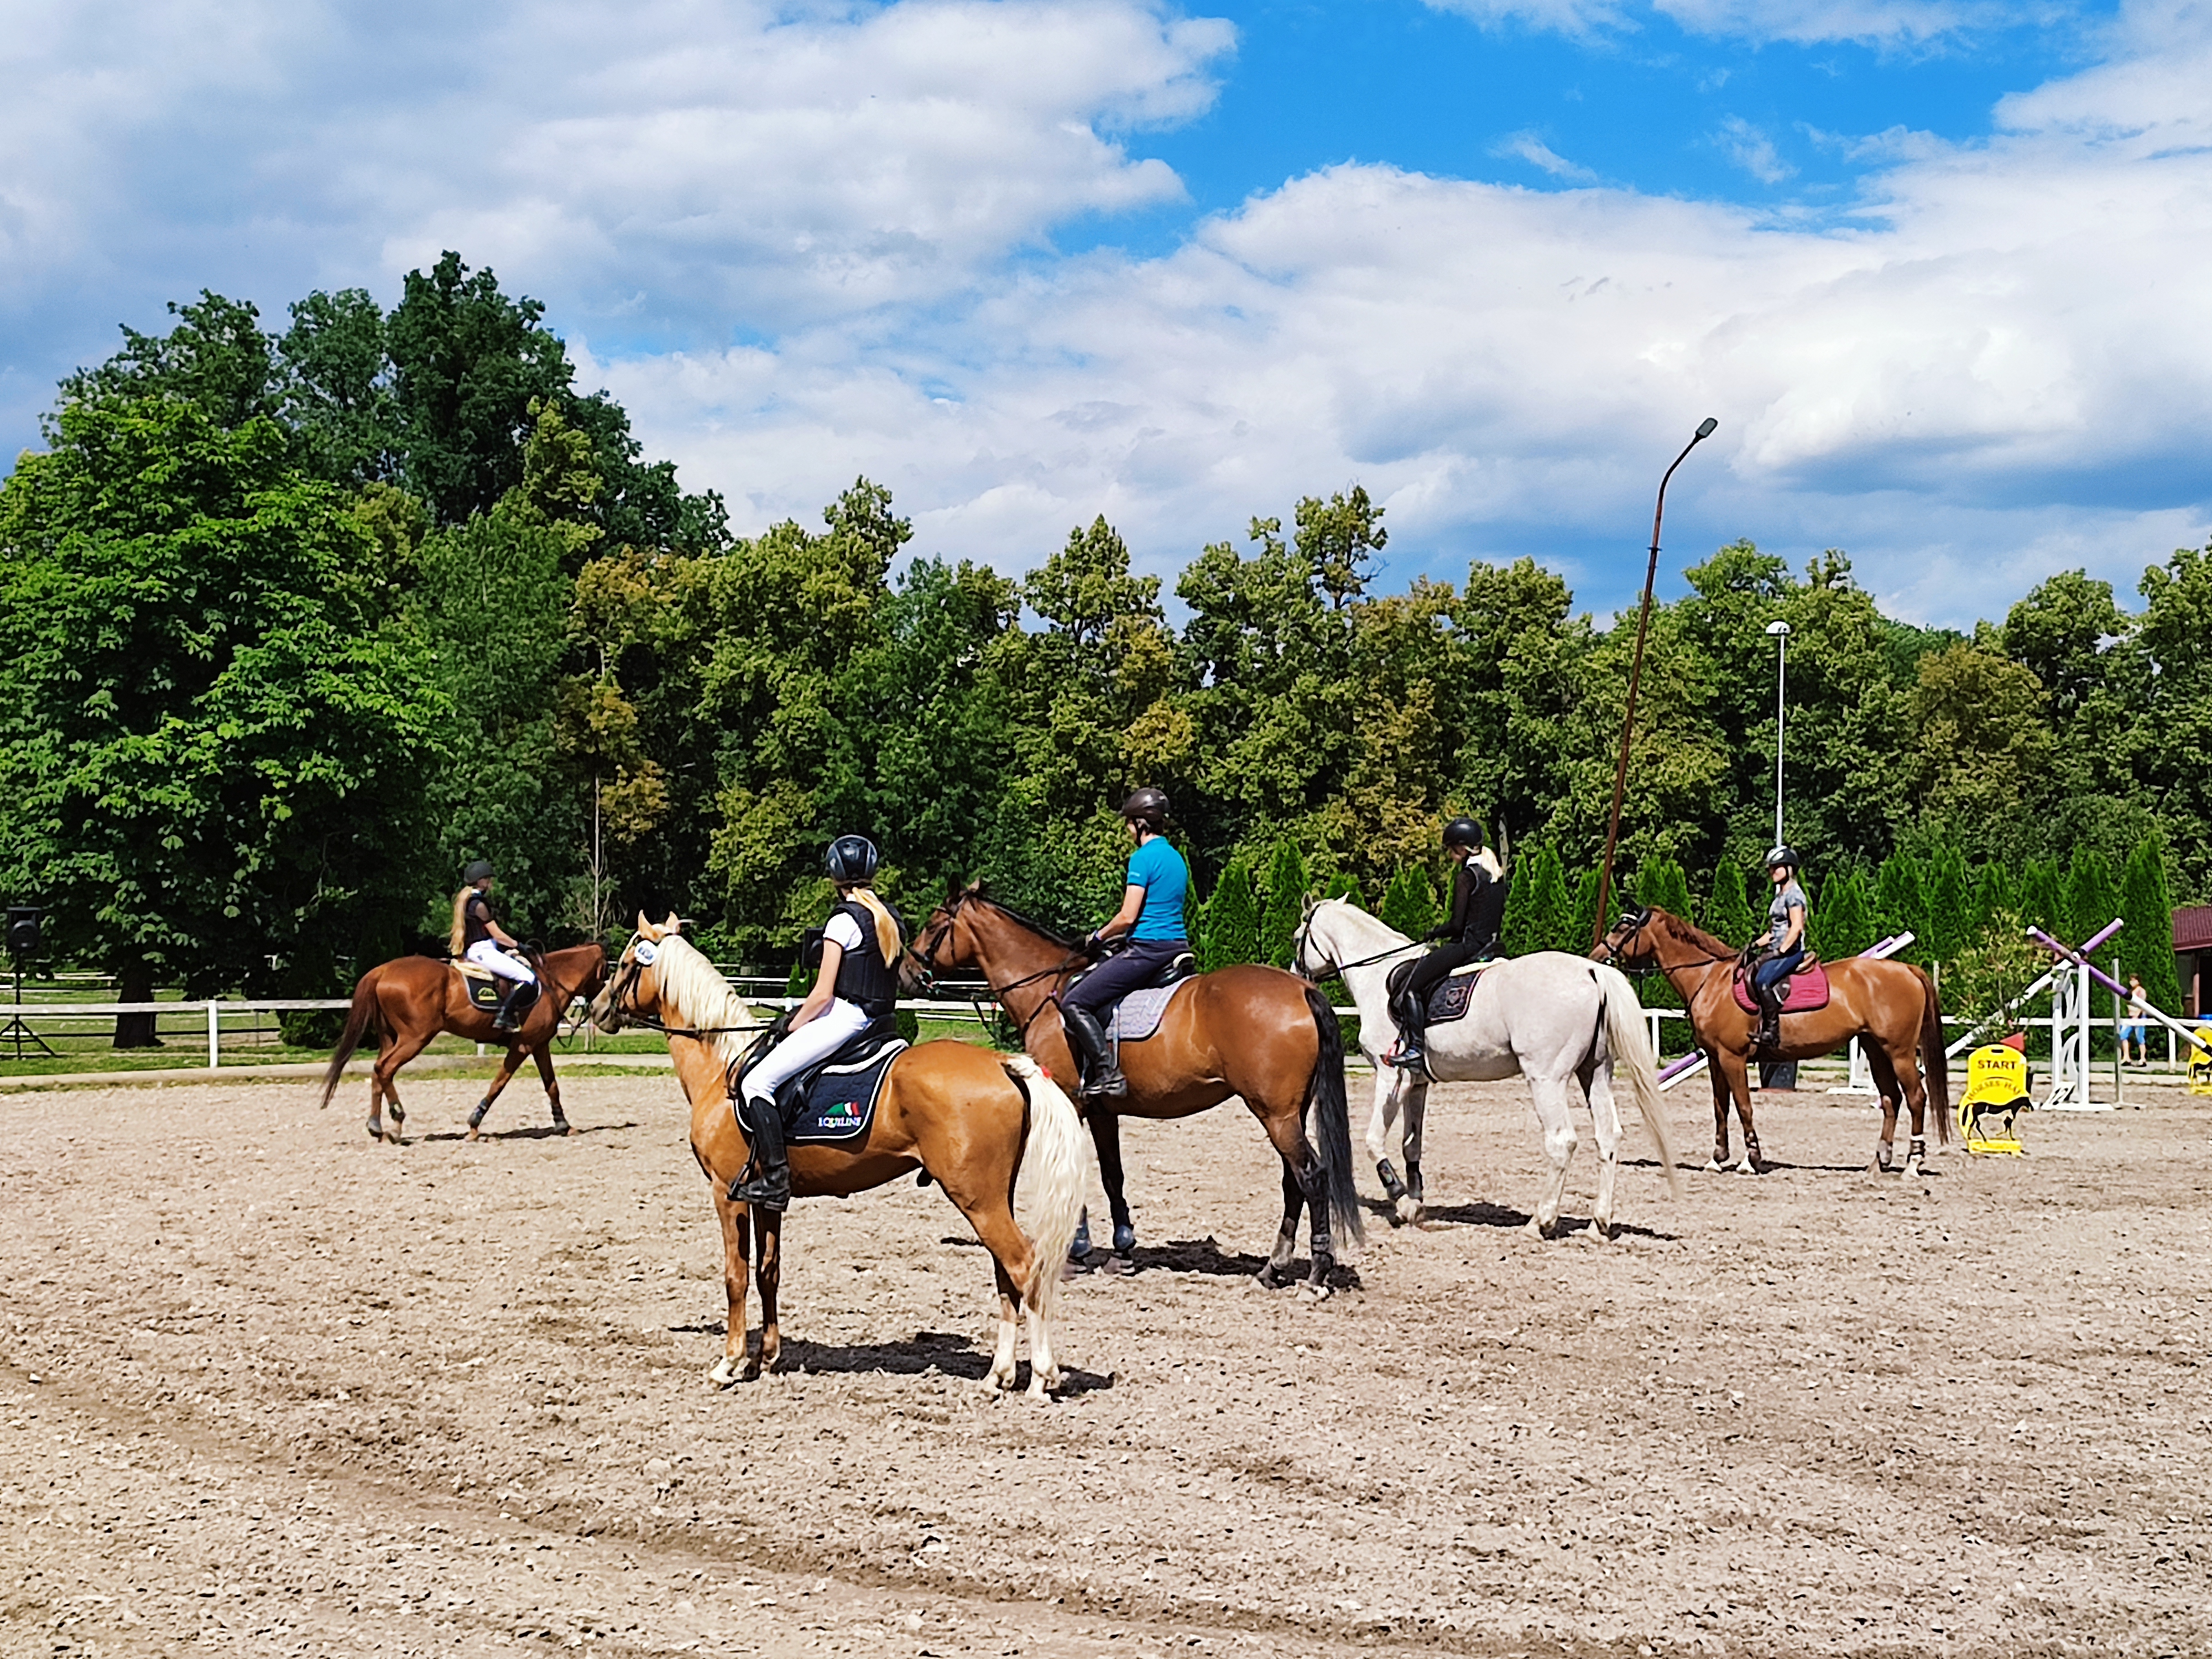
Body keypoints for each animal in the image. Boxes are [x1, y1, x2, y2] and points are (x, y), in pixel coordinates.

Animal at [319, 943, 609, 1142]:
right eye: (606, 969)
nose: (600, 1009)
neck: (549, 983)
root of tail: (383, 970)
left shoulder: (539, 1045)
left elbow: (552, 1086)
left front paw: (564, 1125)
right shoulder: (523, 1046)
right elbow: (499, 1083)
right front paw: (474, 1124)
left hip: (391, 1037)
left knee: (378, 1071)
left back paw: (377, 1127)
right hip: (415, 1038)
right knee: (385, 1069)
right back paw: (397, 1120)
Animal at [590, 915, 1087, 1395]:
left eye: (625, 964)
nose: (597, 1010)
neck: (723, 1068)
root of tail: (1002, 1062)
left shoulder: (726, 1194)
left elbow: (736, 1276)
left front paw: (729, 1364)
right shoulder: (766, 1197)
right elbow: (768, 1272)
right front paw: (766, 1358)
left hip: (977, 1198)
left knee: (1024, 1265)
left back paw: (1041, 1378)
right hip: (991, 1198)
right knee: (1007, 1272)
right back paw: (997, 1376)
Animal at [904, 884, 1363, 1296]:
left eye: (933, 925)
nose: (908, 972)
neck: (1048, 994)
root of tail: (1302, 988)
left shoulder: (1071, 1103)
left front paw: (1076, 1255)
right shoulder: (1102, 1109)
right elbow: (1113, 1175)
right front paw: (1122, 1252)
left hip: (1275, 1114)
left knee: (1312, 1176)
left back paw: (1317, 1273)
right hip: (1288, 1113)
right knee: (1293, 1182)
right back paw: (1274, 1269)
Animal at [1293, 899, 1680, 1240]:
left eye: (1298, 938)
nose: (1298, 977)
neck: (1377, 977)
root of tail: (1591, 970)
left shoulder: (1392, 1077)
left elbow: (1374, 1141)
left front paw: (1401, 1201)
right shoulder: (1417, 1084)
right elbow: (1411, 1145)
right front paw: (1416, 1204)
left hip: (1546, 1079)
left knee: (1562, 1141)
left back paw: (1540, 1222)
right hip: (1595, 1073)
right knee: (1608, 1136)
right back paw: (1598, 1225)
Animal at [1593, 906, 1950, 1176]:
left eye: (1622, 926)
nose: (1596, 956)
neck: (1710, 980)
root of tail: (1908, 970)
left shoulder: (1732, 1057)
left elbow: (1743, 1106)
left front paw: (1750, 1160)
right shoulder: (1715, 1058)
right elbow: (1720, 1107)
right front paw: (1716, 1159)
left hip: (1899, 1052)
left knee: (1916, 1097)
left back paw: (1913, 1164)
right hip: (1876, 1050)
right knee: (1891, 1099)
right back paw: (1878, 1163)